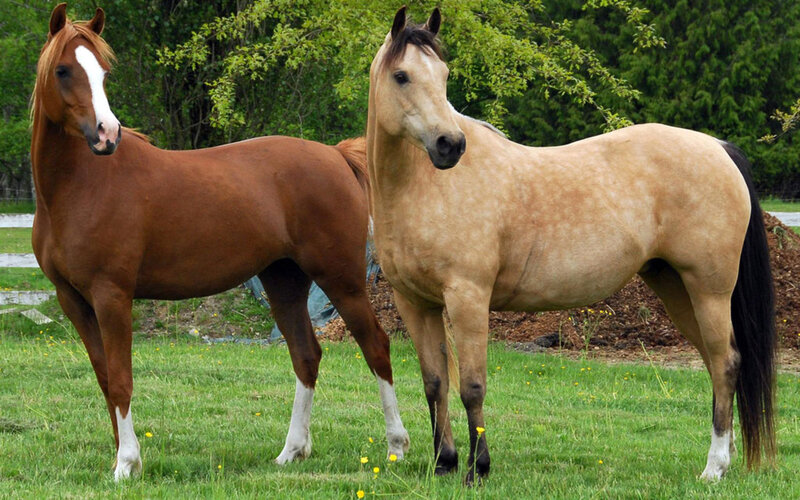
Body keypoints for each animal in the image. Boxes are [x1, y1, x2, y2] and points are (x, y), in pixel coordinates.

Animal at [31, 3, 409, 481]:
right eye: (63, 70)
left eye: (103, 72)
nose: (106, 135)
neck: (80, 187)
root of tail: (336, 156)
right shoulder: (73, 300)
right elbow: (104, 378)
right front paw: (122, 459)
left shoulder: (111, 296)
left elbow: (120, 378)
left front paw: (127, 464)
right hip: (284, 282)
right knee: (306, 355)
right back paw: (291, 452)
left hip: (342, 280)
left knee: (375, 346)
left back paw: (396, 447)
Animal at [367, 7, 775, 484]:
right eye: (402, 76)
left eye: (445, 75)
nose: (450, 145)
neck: (422, 188)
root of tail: (718, 146)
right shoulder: (415, 303)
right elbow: (435, 383)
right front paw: (443, 463)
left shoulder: (468, 298)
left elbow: (472, 386)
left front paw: (477, 468)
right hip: (677, 288)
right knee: (717, 365)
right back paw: (725, 458)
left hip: (709, 290)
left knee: (726, 364)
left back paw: (713, 467)